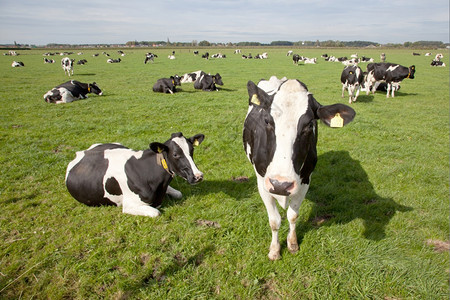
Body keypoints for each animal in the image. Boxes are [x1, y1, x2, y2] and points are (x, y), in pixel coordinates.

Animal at [65, 132, 206, 217]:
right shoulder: (129, 205)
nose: (198, 176)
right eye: (176, 154)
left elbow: (179, 193)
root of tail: (83, 151)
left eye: (192, 150)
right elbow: (156, 212)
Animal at [243, 77, 356, 260]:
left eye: (310, 125)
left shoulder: (305, 180)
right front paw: (274, 250)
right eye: (267, 120)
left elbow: (293, 215)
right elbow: (274, 220)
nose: (280, 185)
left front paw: (293, 244)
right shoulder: (262, 183)